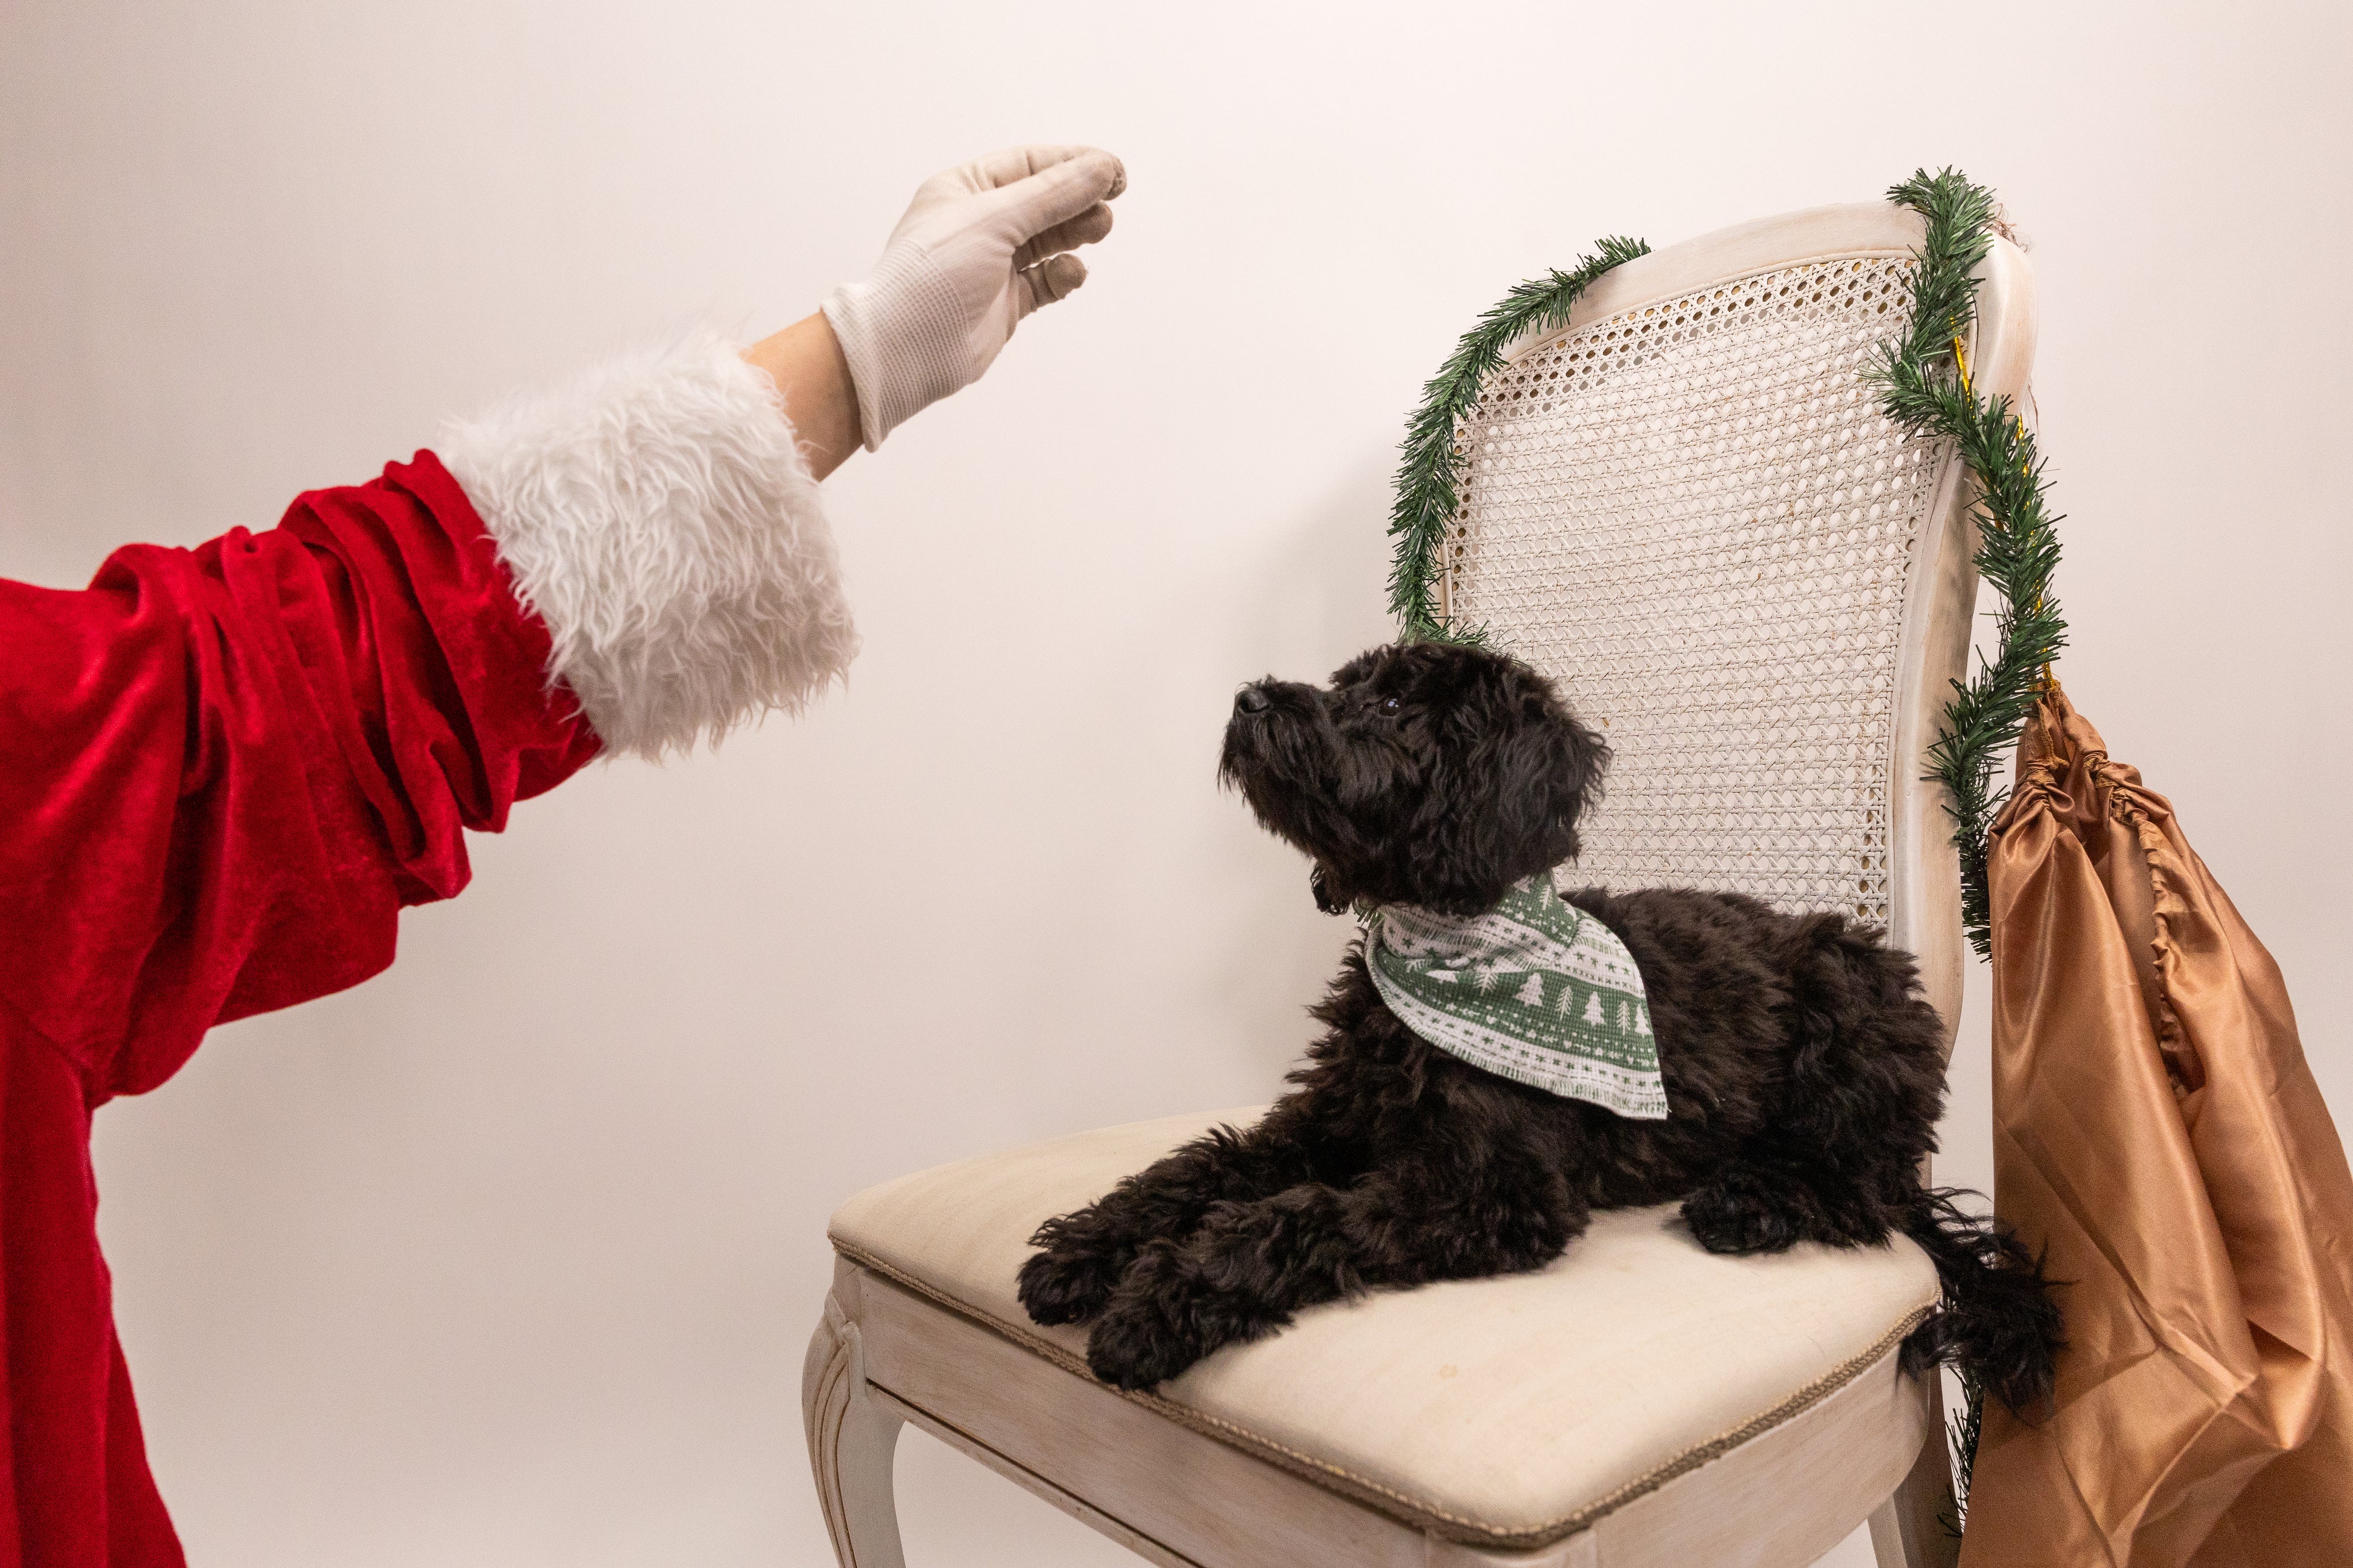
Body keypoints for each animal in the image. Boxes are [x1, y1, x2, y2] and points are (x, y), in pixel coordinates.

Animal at [1016, 639, 2061, 1410]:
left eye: (1390, 706)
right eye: (1348, 686)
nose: (1247, 700)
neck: (1452, 933)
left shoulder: (1496, 1190)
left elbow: (1293, 1214)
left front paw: (1159, 1303)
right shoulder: (1325, 1122)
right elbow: (1200, 1165)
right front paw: (1085, 1250)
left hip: (1850, 1010)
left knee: (1863, 1193)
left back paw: (1746, 1202)